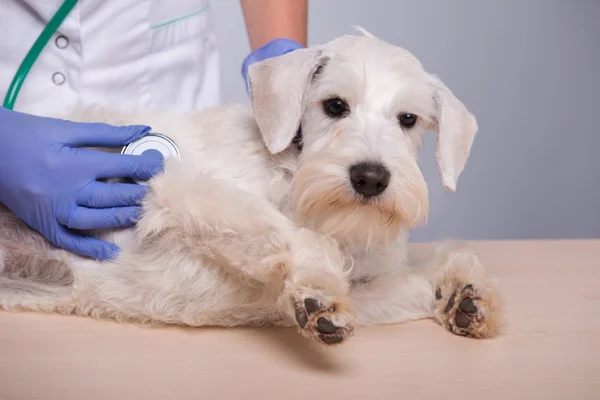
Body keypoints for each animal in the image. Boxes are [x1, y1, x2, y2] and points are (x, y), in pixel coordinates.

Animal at [0, 29, 502, 346]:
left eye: (408, 119)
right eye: (335, 105)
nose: (371, 178)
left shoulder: (363, 285)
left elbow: (410, 284)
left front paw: (462, 295)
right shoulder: (182, 190)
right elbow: (298, 238)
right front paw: (320, 289)